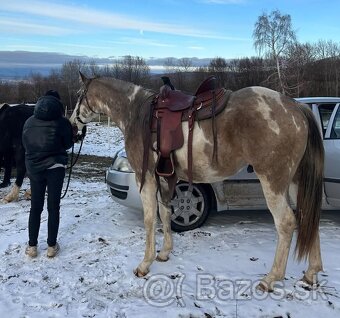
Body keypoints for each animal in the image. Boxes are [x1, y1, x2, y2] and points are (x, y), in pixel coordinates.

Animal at [69, 73, 324, 292]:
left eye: (79, 94)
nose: (72, 126)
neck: (137, 113)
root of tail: (295, 107)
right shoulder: (167, 179)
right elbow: (165, 213)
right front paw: (164, 253)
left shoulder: (147, 176)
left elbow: (150, 219)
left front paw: (145, 264)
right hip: (295, 182)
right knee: (307, 216)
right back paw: (311, 273)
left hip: (273, 181)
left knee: (286, 223)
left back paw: (271, 279)